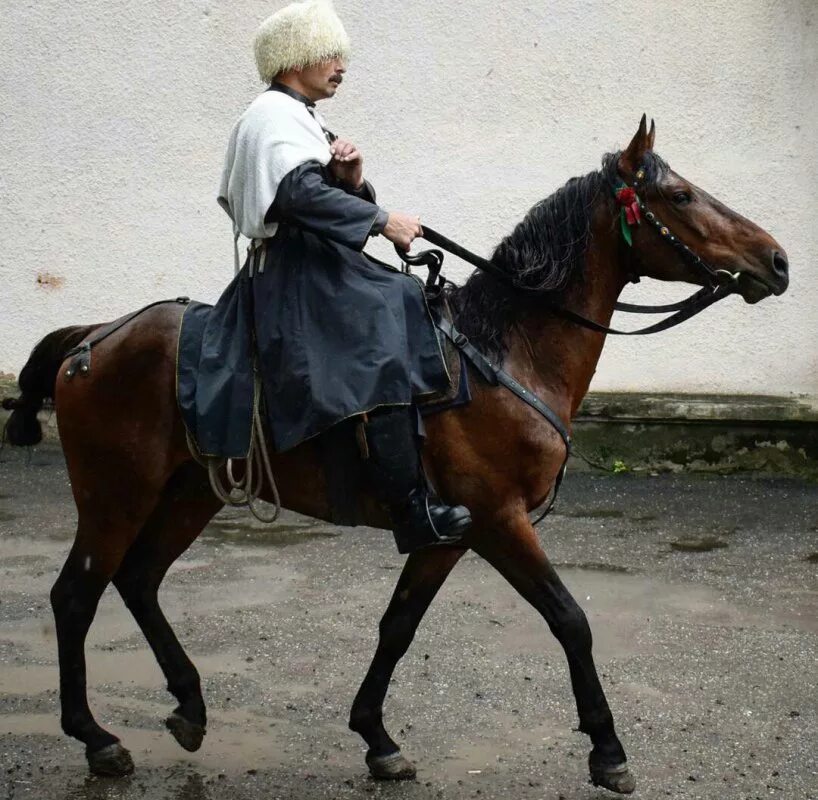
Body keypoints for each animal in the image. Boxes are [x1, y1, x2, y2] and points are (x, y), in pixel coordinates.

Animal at [3, 117, 788, 792]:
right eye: (679, 195)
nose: (776, 261)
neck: (509, 352)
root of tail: (91, 338)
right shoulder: (499, 520)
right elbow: (569, 619)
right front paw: (607, 749)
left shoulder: (449, 532)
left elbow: (398, 626)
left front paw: (377, 738)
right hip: (116, 495)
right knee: (75, 596)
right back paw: (97, 739)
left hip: (189, 492)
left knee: (138, 580)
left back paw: (189, 707)